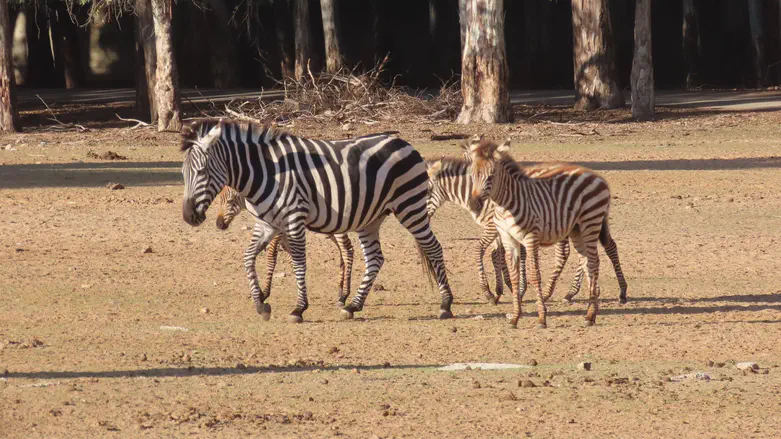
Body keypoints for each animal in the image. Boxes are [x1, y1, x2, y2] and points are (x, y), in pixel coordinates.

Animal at [215, 186, 358, 310]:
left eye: (230, 201)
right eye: (218, 199)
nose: (219, 224)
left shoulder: (279, 230)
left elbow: (272, 256)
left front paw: (264, 293)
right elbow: (292, 258)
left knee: (347, 250)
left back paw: (344, 295)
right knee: (342, 250)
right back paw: (340, 291)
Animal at [464, 137, 628, 326]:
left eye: (490, 177)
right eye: (472, 175)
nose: (474, 204)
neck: (504, 204)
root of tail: (596, 175)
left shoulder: (530, 237)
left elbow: (535, 275)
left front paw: (542, 317)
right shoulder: (508, 238)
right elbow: (514, 276)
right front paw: (515, 317)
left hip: (591, 222)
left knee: (594, 263)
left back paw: (591, 314)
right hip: (577, 229)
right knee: (588, 260)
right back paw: (590, 311)